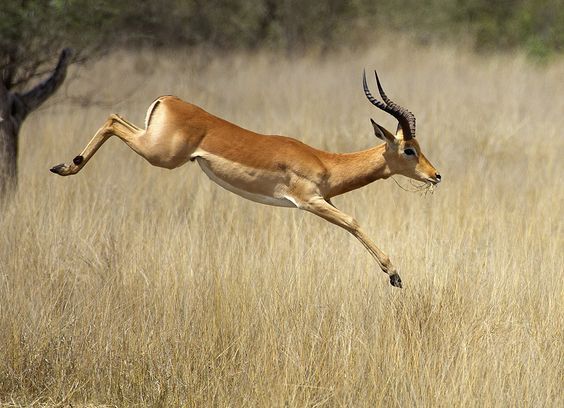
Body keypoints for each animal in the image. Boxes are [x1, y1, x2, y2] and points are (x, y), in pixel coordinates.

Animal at [51, 71, 440, 286]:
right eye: (409, 149)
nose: (436, 175)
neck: (326, 162)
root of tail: (167, 99)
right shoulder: (310, 201)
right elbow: (354, 223)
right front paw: (394, 275)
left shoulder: (324, 200)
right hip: (161, 156)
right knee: (112, 119)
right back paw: (67, 166)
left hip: (153, 144)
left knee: (115, 117)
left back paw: (65, 166)